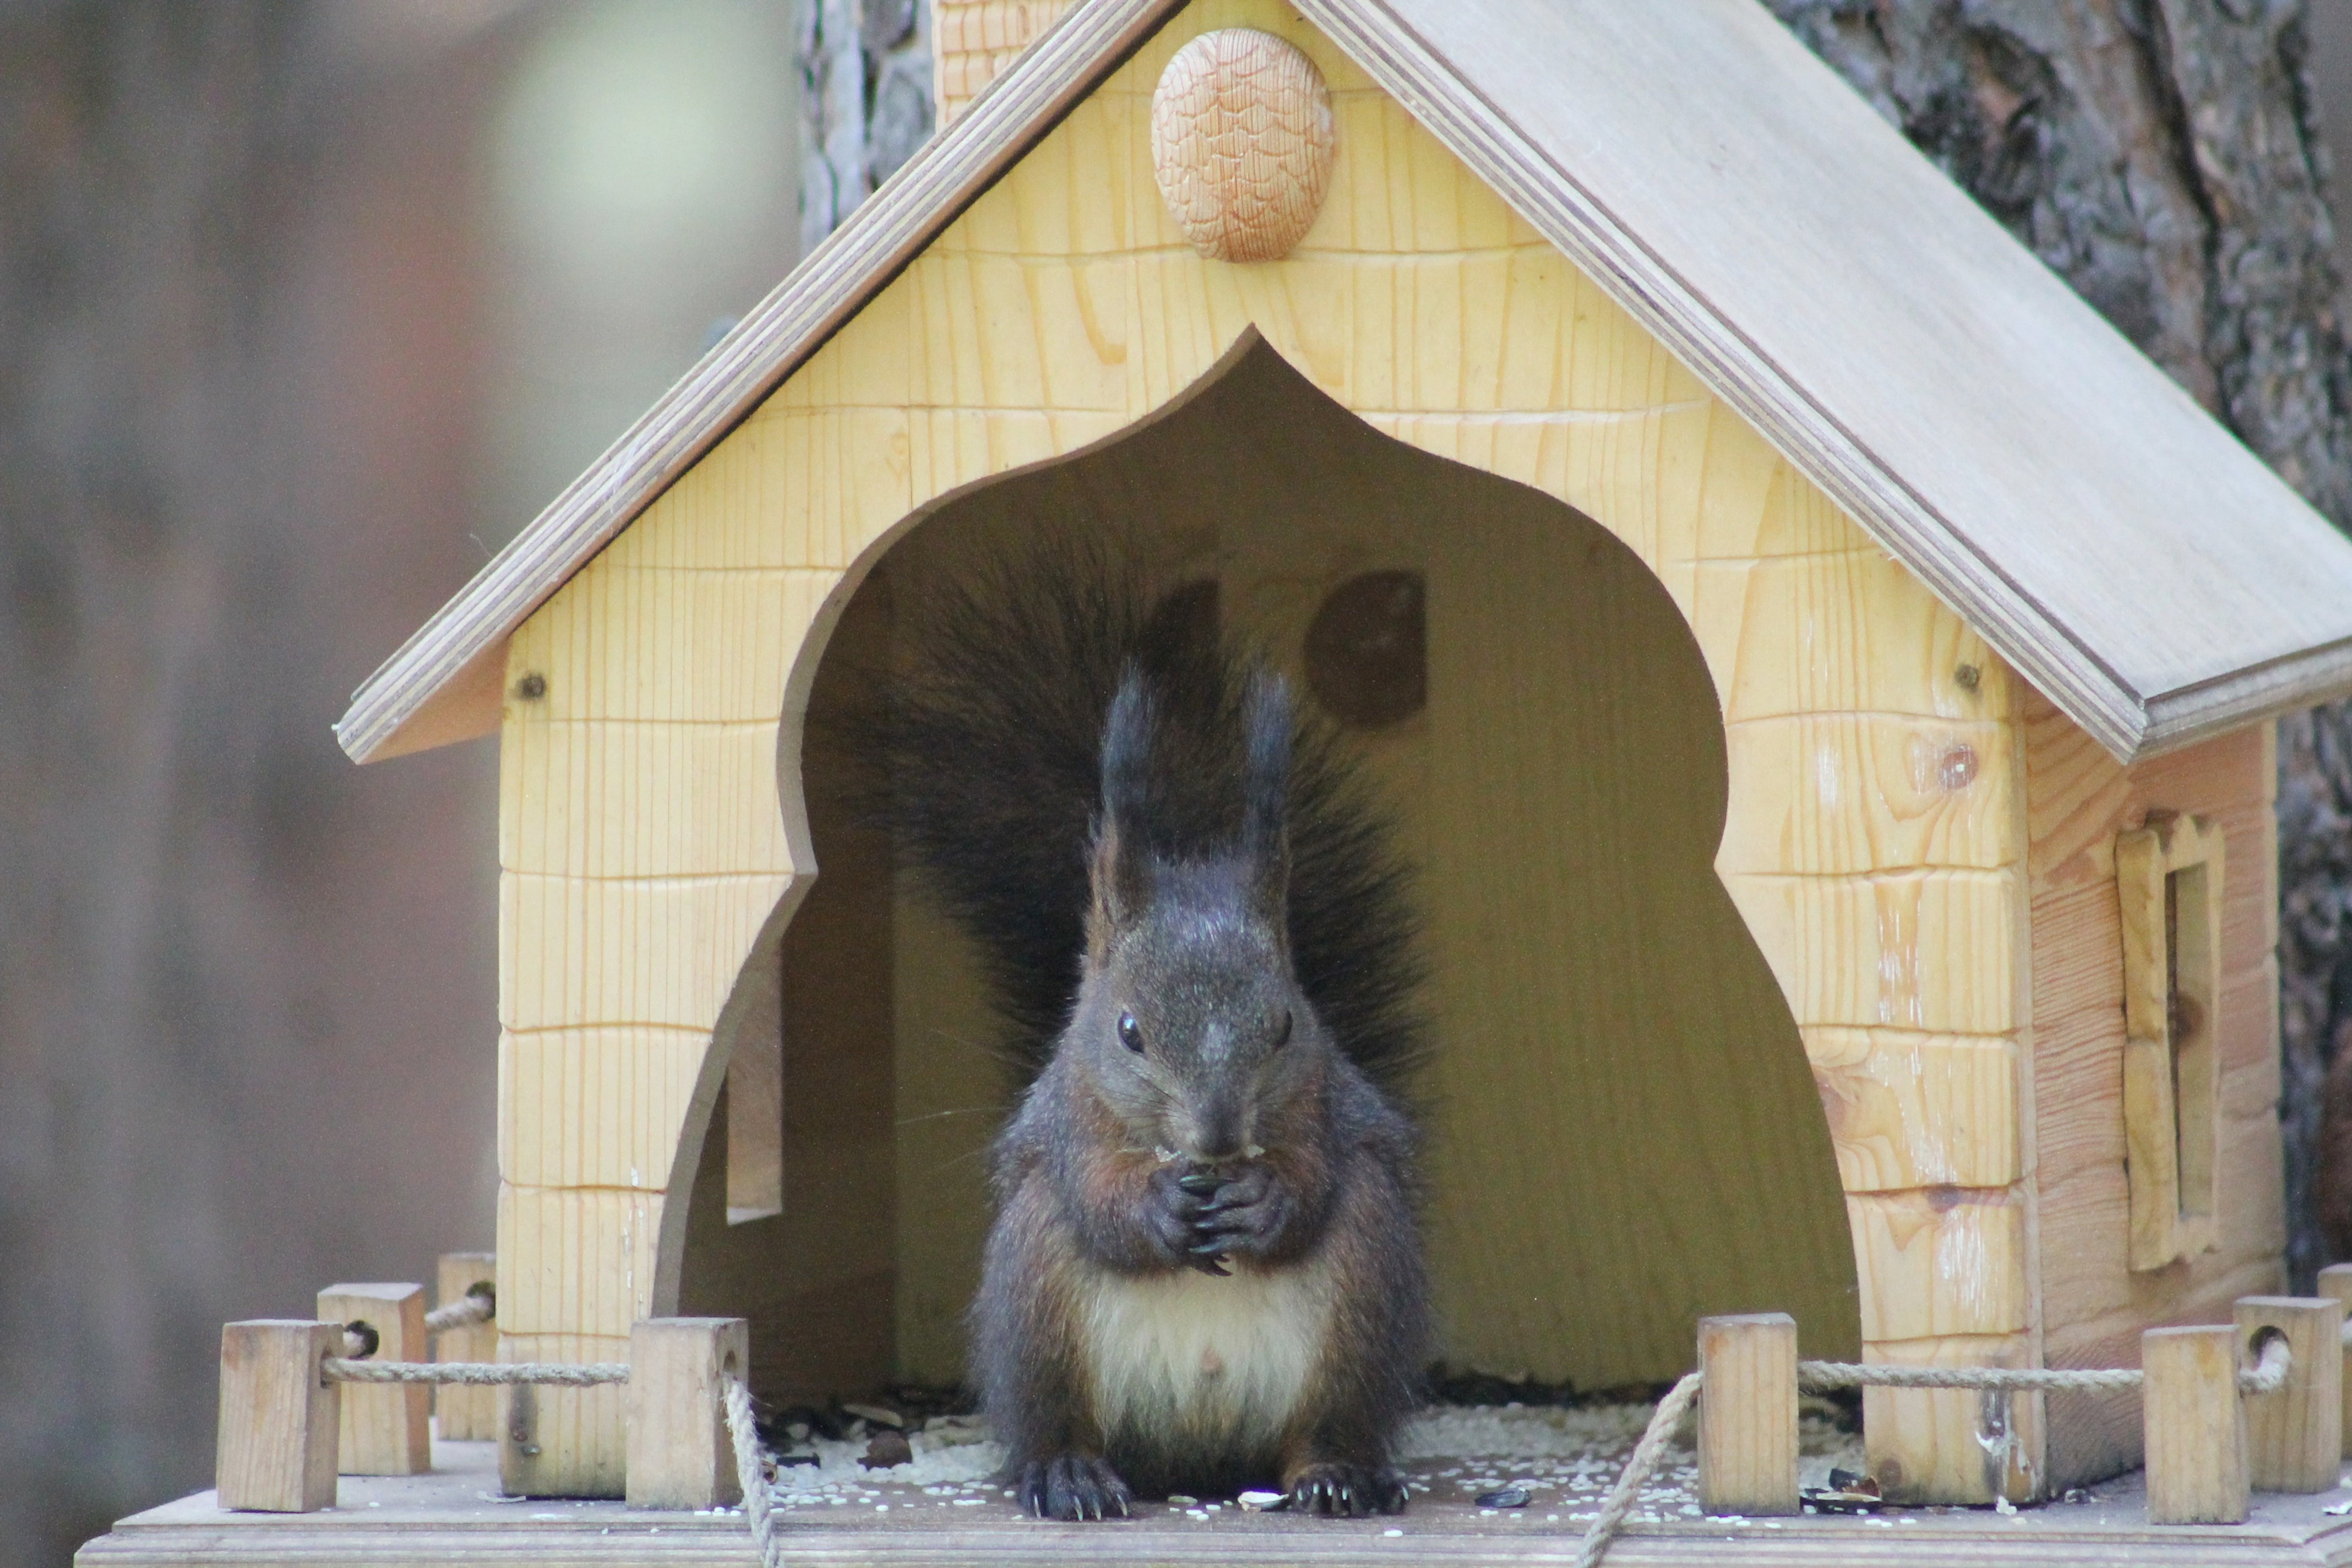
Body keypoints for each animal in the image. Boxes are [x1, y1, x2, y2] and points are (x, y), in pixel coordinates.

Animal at [856, 543, 1420, 1523]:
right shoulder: (1072, 1122)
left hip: (1366, 1285)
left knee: (1327, 1421)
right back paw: (1069, 1474)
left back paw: (1335, 1475)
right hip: (1037, 1294)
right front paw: (1156, 1208)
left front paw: (1265, 1199)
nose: (1222, 1136)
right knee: (1059, 1416)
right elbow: (1098, 1196)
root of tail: (1202, 1456)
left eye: (1286, 1024)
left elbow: (1313, 1179)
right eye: (1127, 1031)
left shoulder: (1322, 1105)